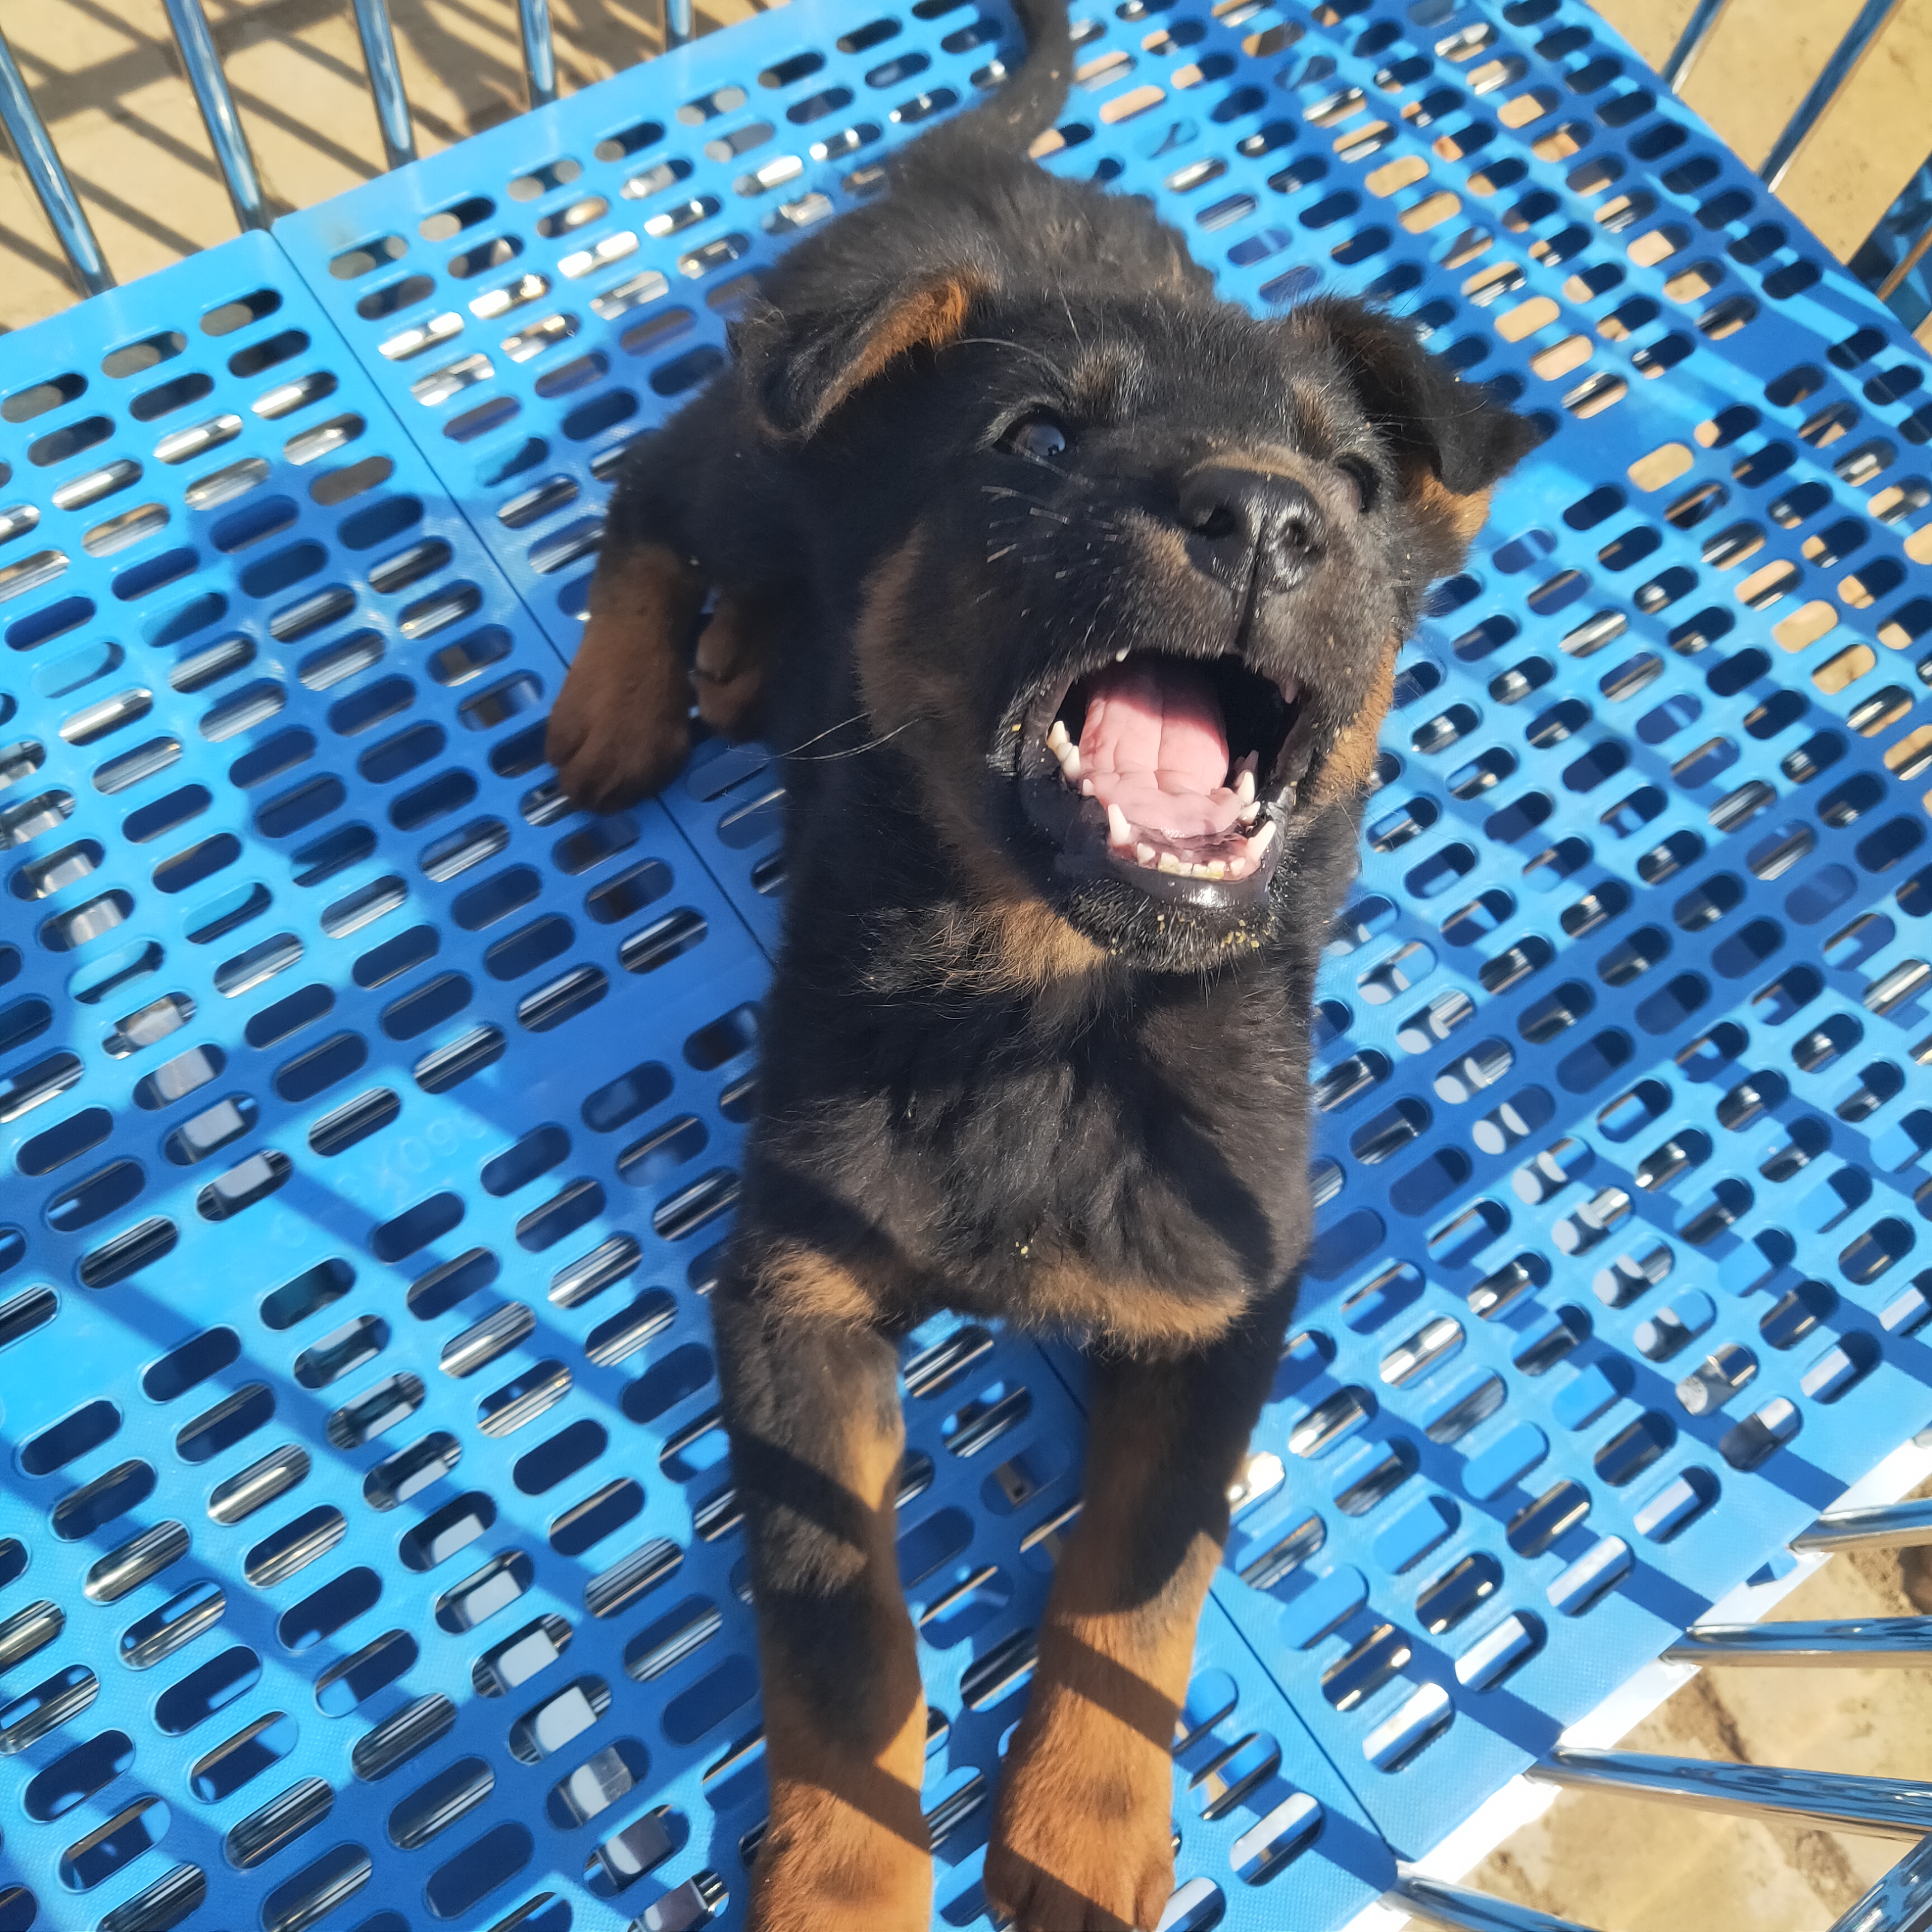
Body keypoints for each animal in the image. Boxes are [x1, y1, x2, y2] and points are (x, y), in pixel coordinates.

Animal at [548, 1, 1534, 1922]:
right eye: (1038, 446)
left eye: (1355, 484)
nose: (1264, 518)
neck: (1057, 1007)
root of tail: (967, 183)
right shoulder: (790, 1296)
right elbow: (838, 1635)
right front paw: (846, 1887)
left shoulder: (1229, 1301)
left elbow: (1139, 1579)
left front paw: (1080, 1829)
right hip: (758, 446)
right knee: (649, 498)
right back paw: (625, 691)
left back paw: (751, 664)